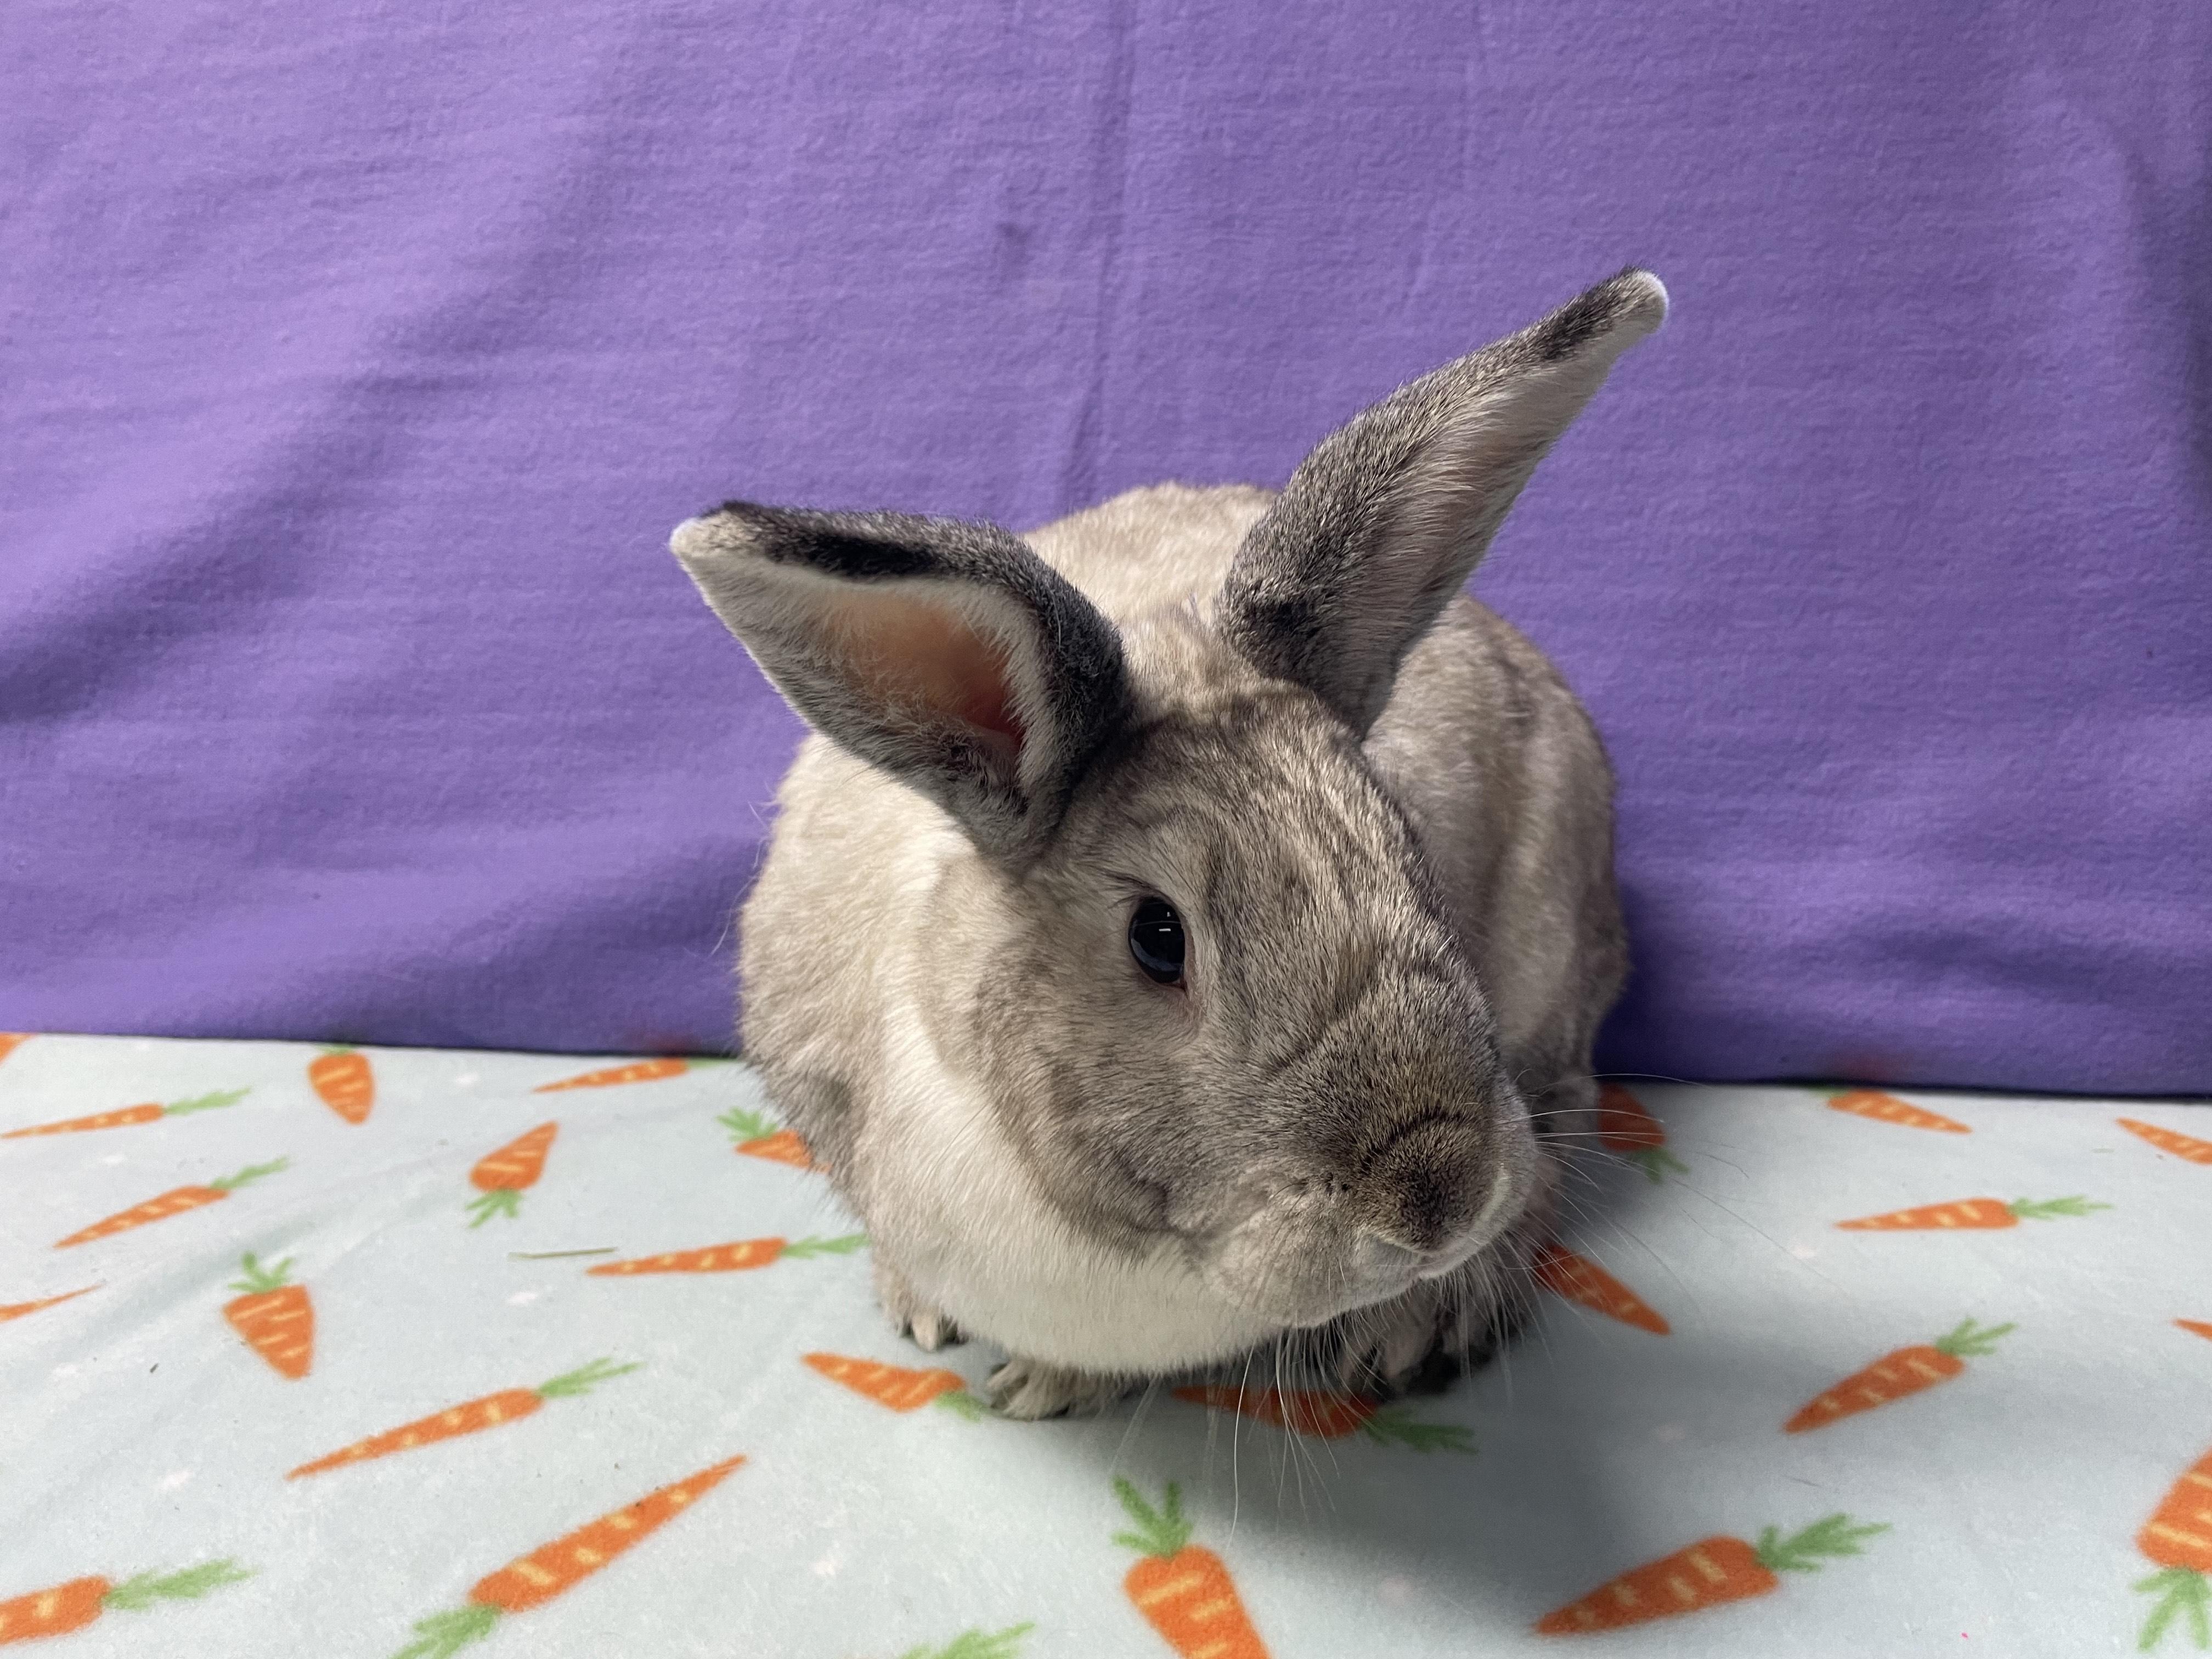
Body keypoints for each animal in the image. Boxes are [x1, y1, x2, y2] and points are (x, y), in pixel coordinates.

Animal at [673, 268, 1665, 1419]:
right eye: (1157, 937)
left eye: (1404, 841)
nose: (1437, 1195)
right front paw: (950, 1330)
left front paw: (1040, 1384)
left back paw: (1417, 1326)